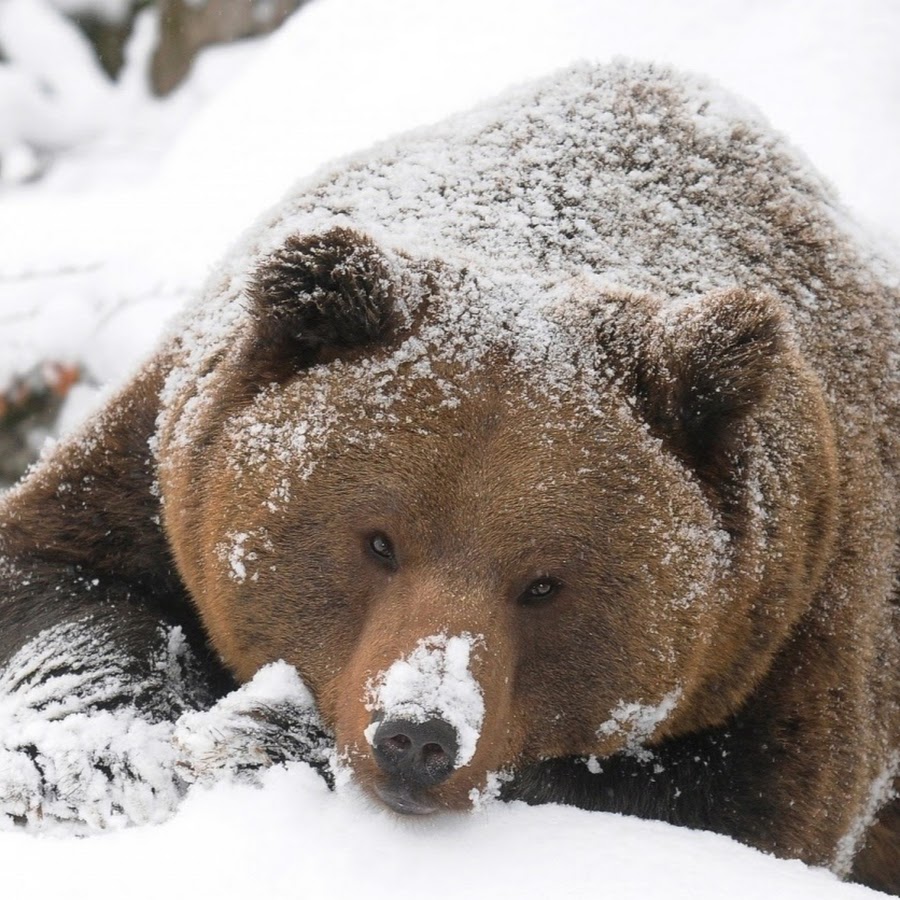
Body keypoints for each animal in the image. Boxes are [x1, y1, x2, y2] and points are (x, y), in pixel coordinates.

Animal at [1, 63, 900, 892]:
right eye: (378, 542)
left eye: (544, 583)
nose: (418, 736)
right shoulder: (168, 454)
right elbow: (60, 579)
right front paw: (97, 760)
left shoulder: (789, 622)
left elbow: (721, 800)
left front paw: (265, 733)